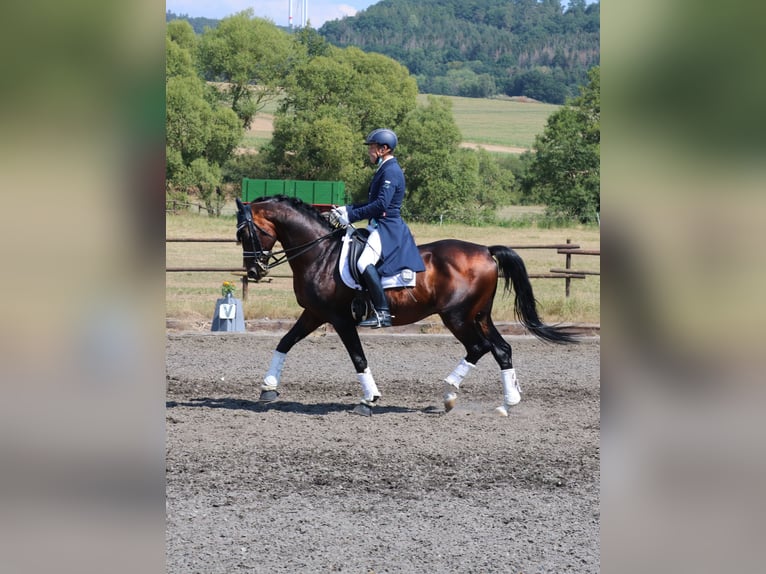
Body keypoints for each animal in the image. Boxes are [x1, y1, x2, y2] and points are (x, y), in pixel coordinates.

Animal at [235, 195, 578, 416]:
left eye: (246, 233)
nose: (253, 272)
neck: (321, 254)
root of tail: (485, 250)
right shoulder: (315, 313)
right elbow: (284, 342)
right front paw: (268, 387)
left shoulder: (339, 318)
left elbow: (358, 358)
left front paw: (369, 399)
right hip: (478, 315)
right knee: (501, 349)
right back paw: (507, 403)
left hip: (456, 316)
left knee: (479, 348)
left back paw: (449, 393)